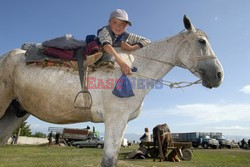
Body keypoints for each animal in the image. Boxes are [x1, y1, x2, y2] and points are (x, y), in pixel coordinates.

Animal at [0, 16, 223, 166]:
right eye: (202, 41)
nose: (219, 75)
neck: (133, 68)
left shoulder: (122, 122)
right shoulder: (115, 119)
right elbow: (108, 161)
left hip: (15, 113)